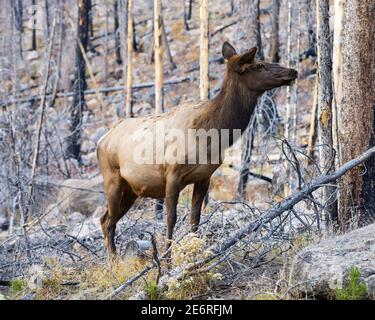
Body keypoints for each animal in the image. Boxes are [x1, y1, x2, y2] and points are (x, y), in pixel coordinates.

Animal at [98, 42, 298, 258]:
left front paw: (193, 255)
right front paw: (167, 260)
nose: (293, 71)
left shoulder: (204, 177)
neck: (212, 133)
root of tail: (102, 140)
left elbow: (195, 219)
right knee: (108, 221)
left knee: (106, 219)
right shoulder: (172, 174)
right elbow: (171, 218)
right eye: (259, 65)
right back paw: (113, 262)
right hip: (112, 179)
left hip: (131, 189)